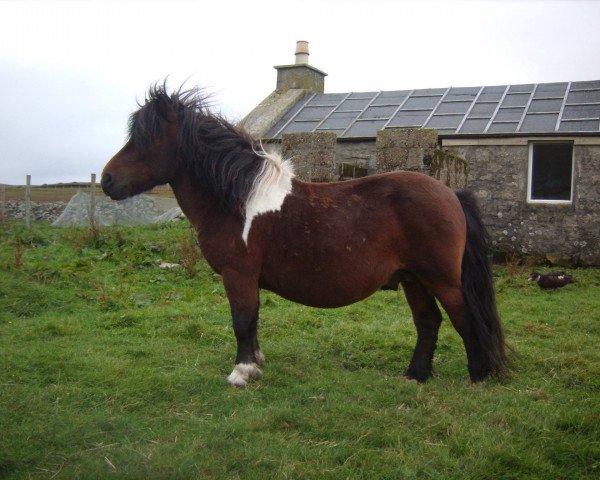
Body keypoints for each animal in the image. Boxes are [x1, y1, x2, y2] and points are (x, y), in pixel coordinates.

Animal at [103, 85, 510, 386]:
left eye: (145, 138)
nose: (107, 180)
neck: (240, 201)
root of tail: (451, 194)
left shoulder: (239, 274)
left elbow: (242, 321)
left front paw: (242, 372)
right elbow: (252, 321)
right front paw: (256, 363)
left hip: (441, 279)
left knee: (464, 318)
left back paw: (478, 376)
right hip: (414, 279)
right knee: (428, 322)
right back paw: (415, 375)